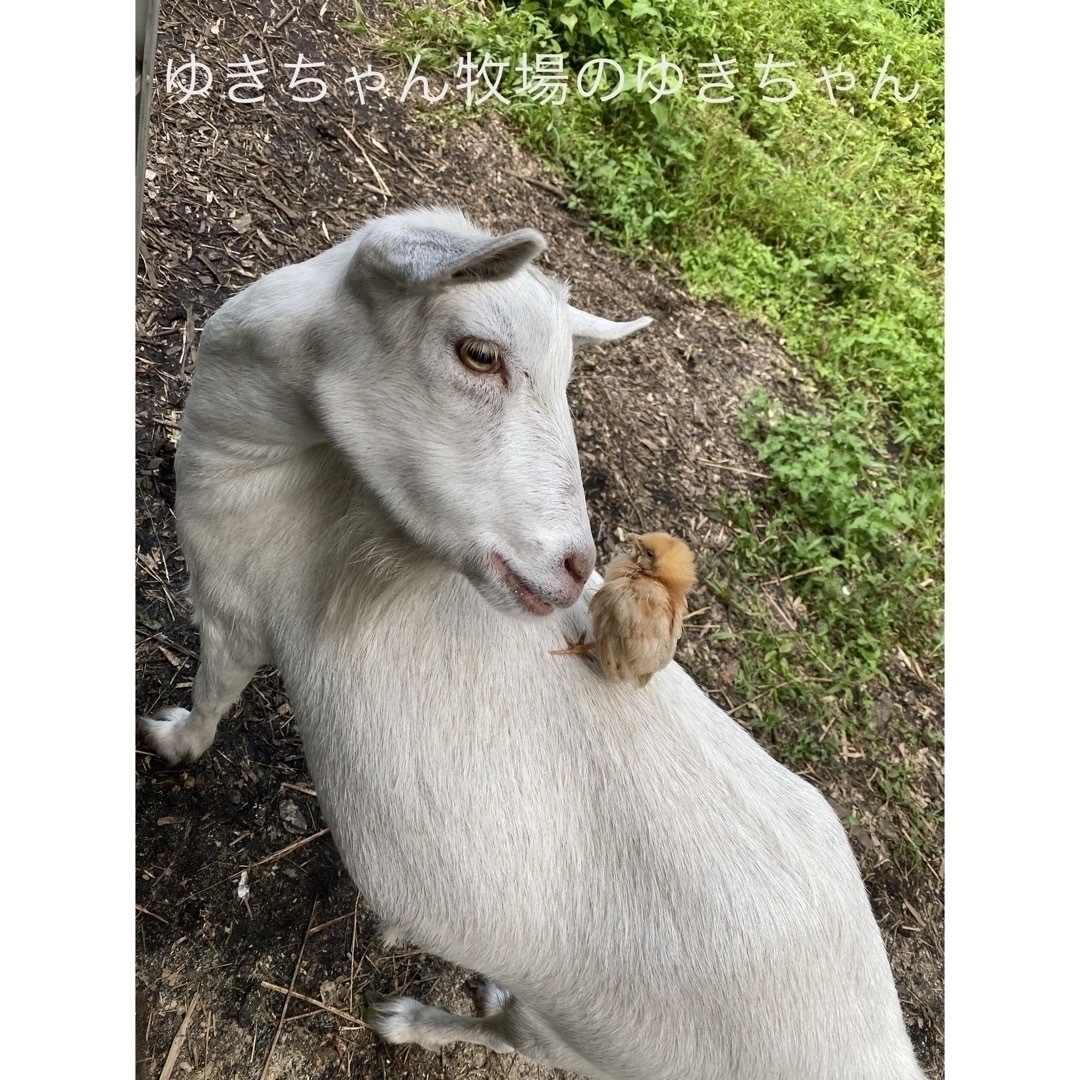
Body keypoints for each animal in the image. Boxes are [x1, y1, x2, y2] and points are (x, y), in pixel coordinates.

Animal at [139, 206, 924, 1075]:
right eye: (479, 353)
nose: (579, 565)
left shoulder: (231, 601)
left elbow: (212, 694)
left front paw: (170, 740)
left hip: (588, 1035)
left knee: (514, 1036)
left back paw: (411, 1021)